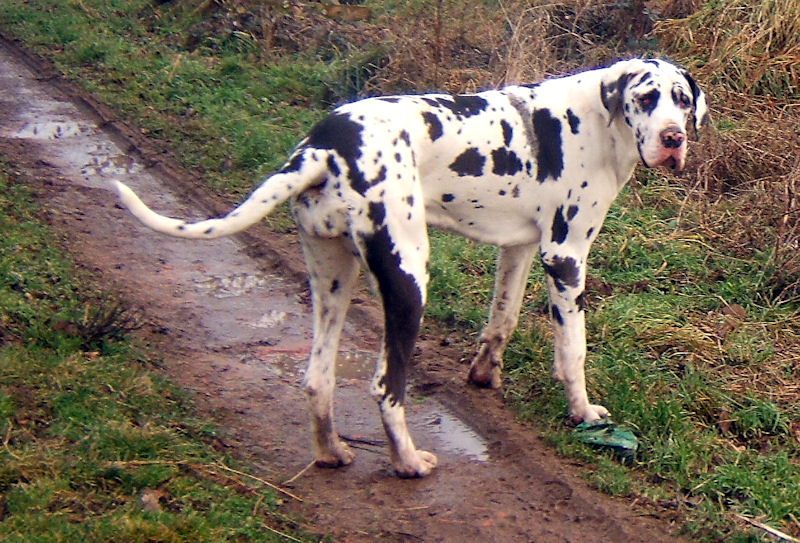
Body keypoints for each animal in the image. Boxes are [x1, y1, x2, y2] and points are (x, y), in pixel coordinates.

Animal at [114, 57, 708, 478]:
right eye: (645, 98)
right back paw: (406, 462)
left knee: (317, 378)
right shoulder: (564, 258)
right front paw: (582, 413)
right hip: (409, 279)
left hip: (333, 277)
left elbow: (502, 319)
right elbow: (573, 351)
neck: (598, 120)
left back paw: (331, 451)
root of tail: (322, 145)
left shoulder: (517, 250)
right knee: (385, 386)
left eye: (681, 101)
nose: (673, 138)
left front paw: (485, 374)